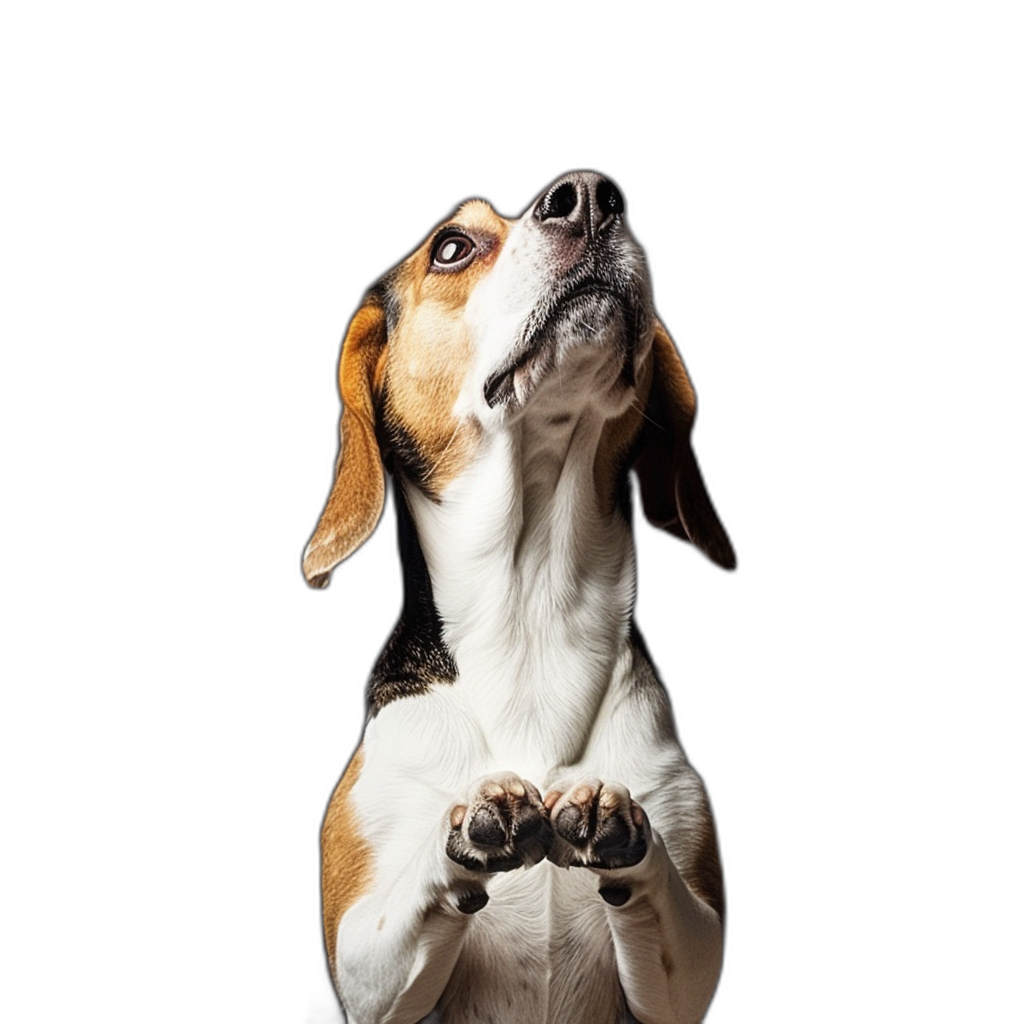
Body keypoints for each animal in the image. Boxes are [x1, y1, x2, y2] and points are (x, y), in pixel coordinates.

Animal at [299, 172, 733, 1019]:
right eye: (452, 247)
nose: (591, 195)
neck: (531, 615)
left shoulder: (689, 975)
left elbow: (669, 892)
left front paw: (612, 818)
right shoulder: (363, 970)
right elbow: (407, 895)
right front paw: (476, 821)